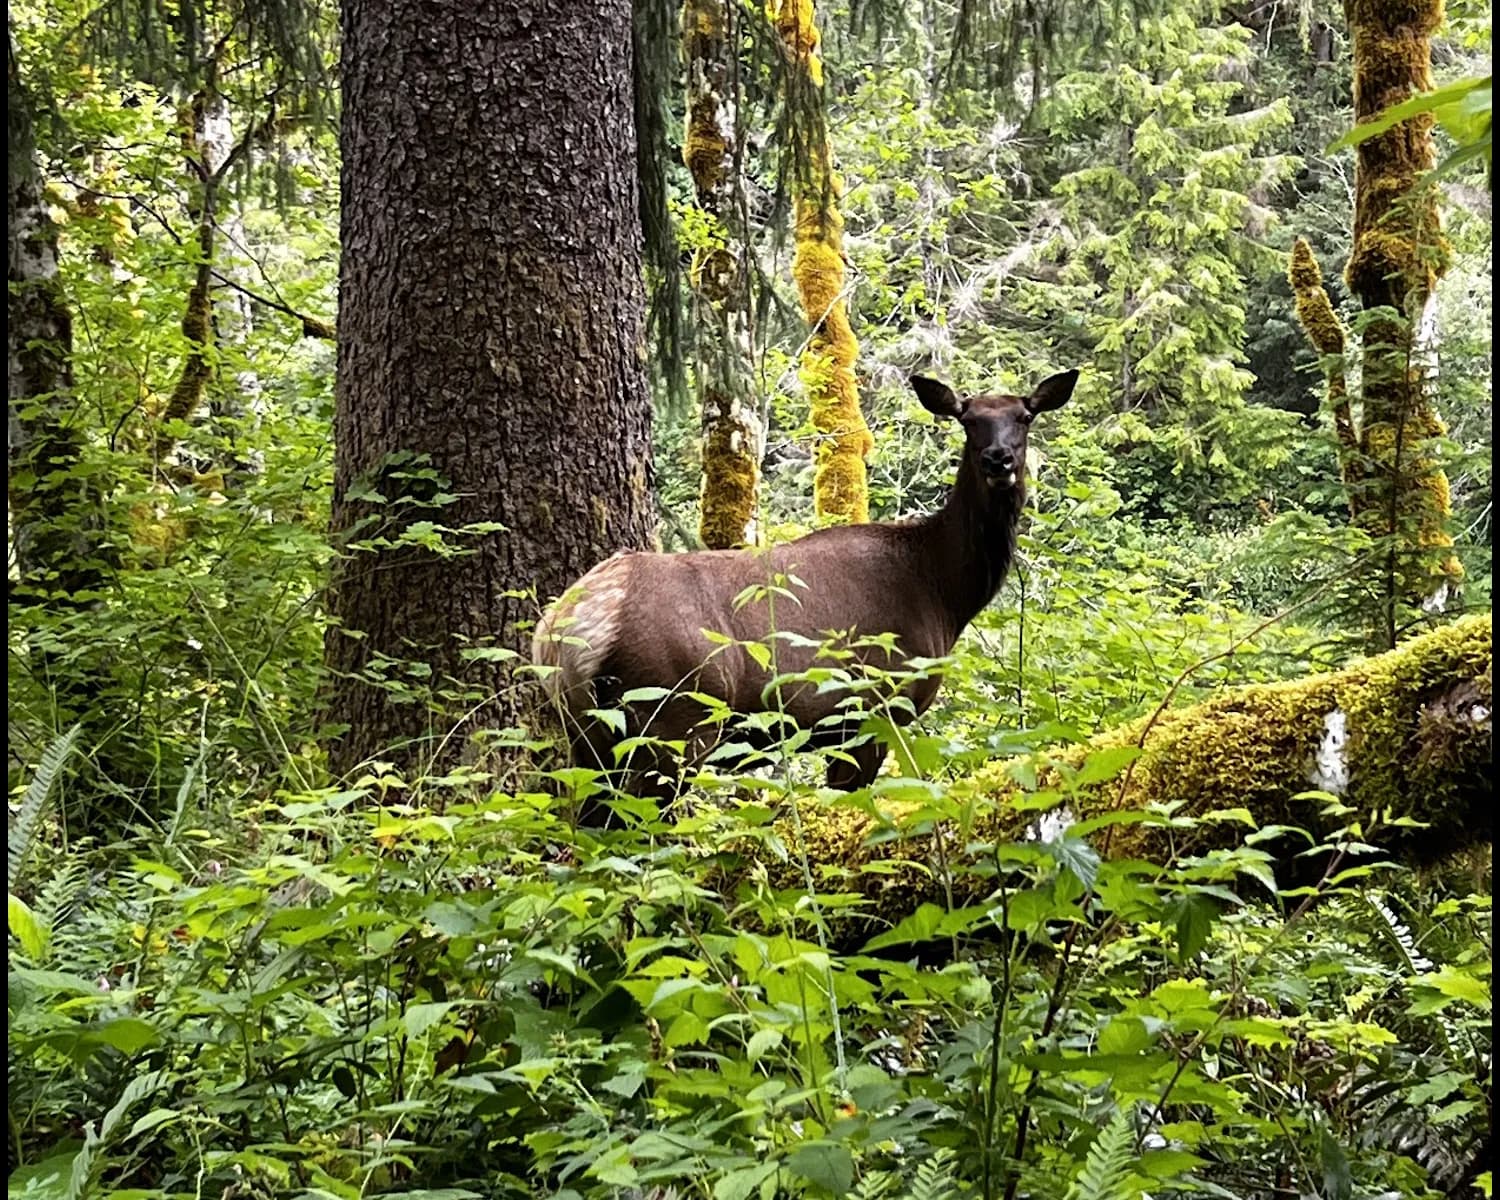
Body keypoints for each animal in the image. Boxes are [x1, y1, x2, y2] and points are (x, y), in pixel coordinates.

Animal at [533, 369, 1078, 814]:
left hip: (587, 734)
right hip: (672, 716)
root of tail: (563, 632)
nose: (998, 458)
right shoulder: (873, 709)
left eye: (1024, 416)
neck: (941, 590)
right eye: (967, 420)